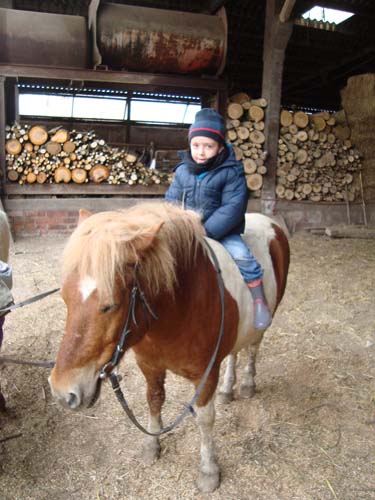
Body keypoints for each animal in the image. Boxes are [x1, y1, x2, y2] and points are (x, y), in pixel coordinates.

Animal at [49, 202, 290, 492]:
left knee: (253, 348)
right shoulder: (150, 366)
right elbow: (154, 400)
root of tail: (269, 221)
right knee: (234, 352)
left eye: (110, 305)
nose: (63, 392)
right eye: (65, 298)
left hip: (264, 321)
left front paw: (208, 471)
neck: (178, 309)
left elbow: (204, 418)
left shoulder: (206, 374)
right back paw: (227, 389)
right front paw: (151, 446)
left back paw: (246, 384)